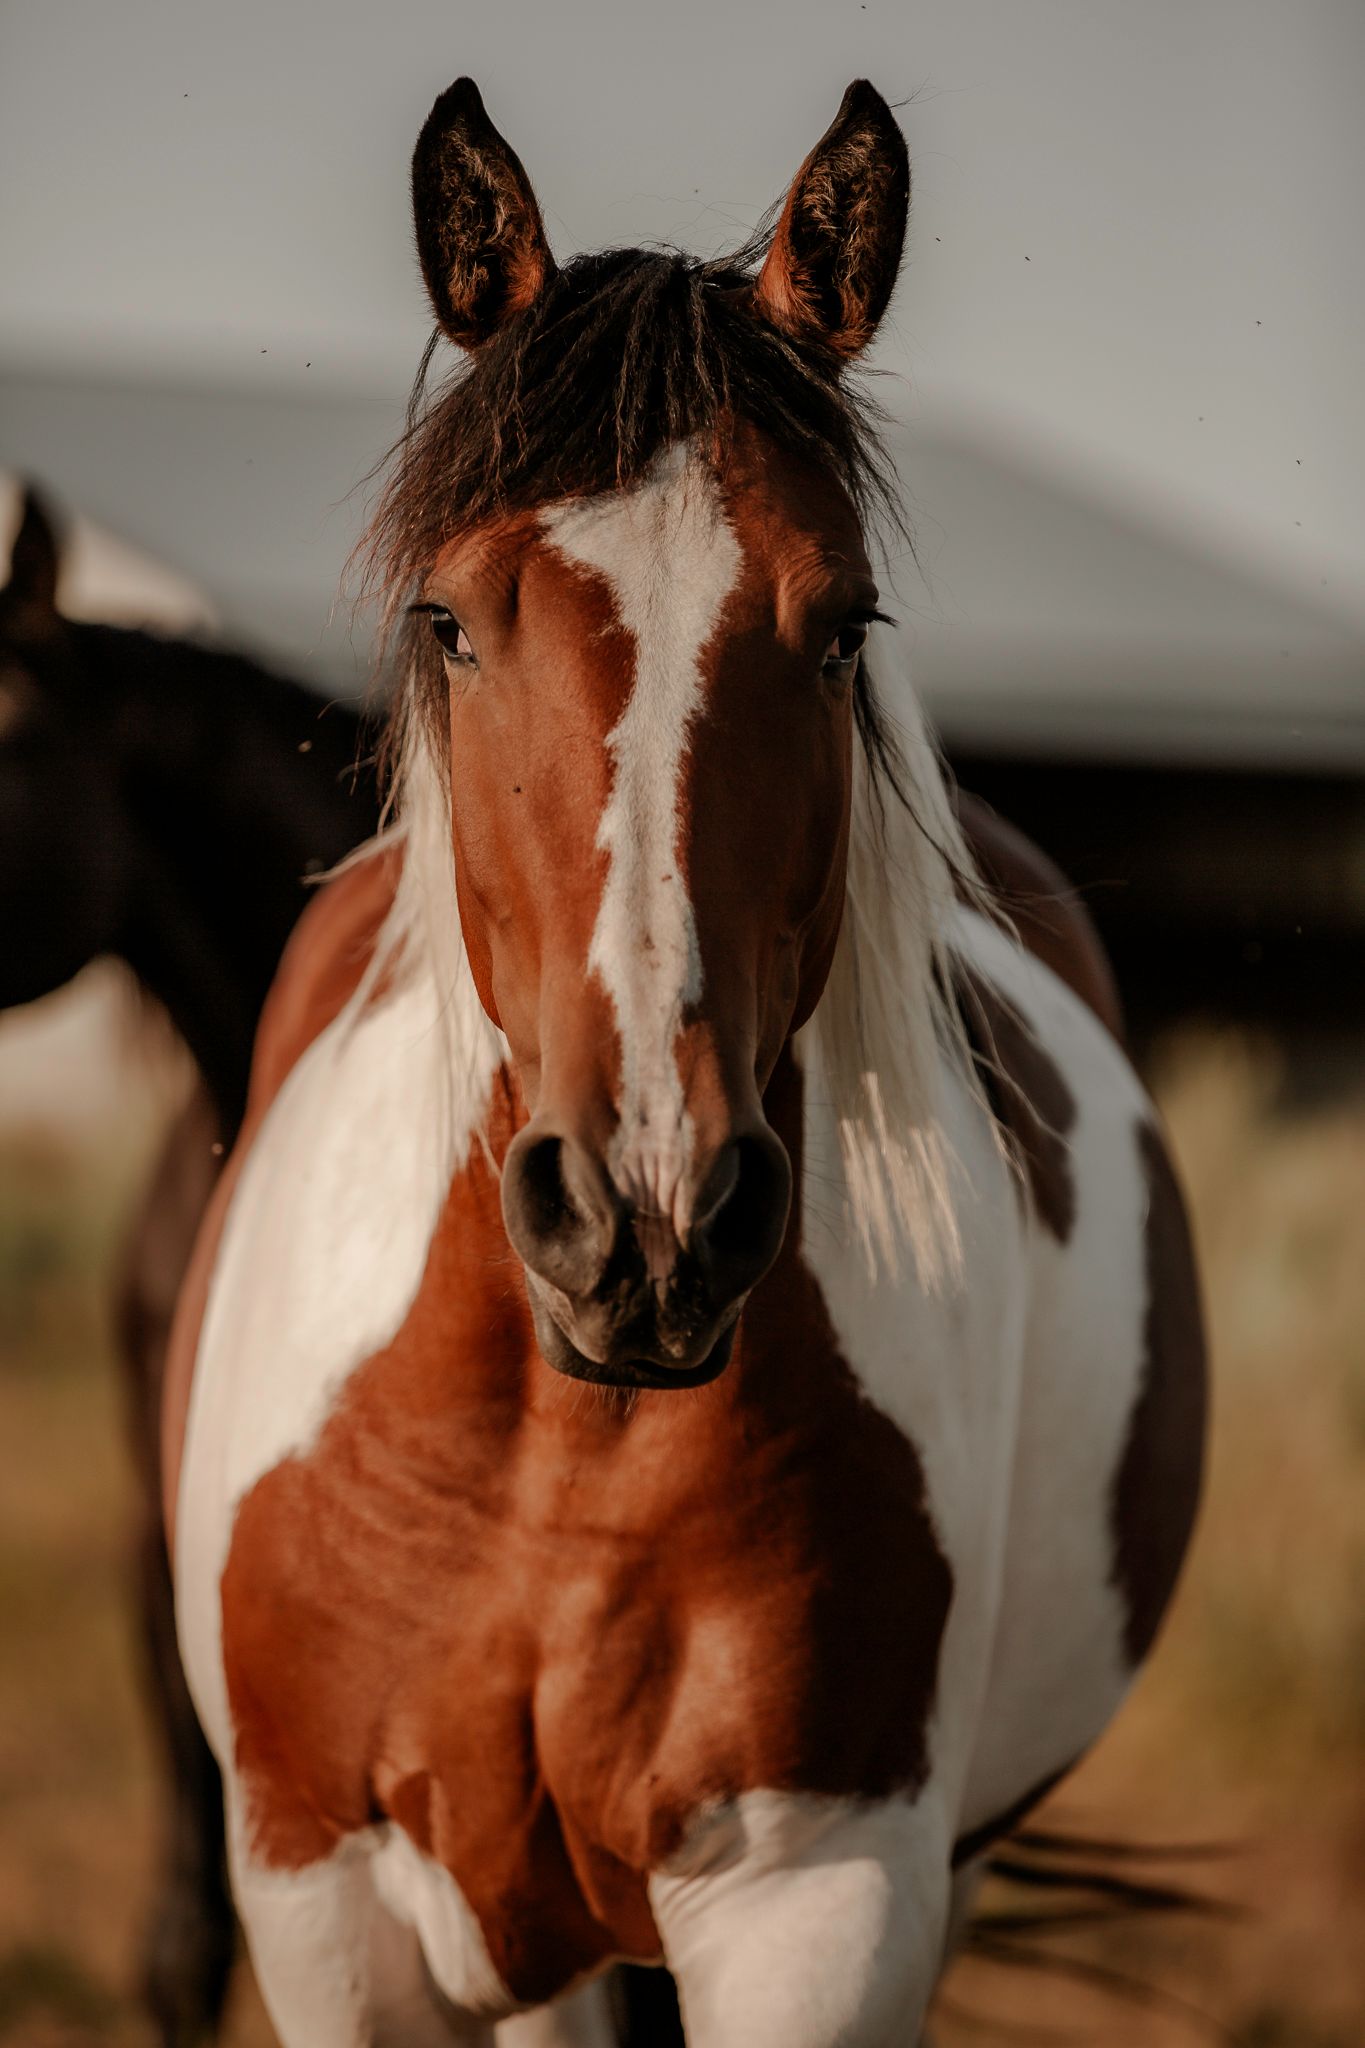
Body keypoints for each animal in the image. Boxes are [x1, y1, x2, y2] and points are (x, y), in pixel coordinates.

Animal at [164, 78, 1204, 2047]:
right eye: (450, 619)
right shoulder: (327, 1900)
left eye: (844, 625)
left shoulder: (822, 1900)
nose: (646, 1219)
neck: (550, 1458)